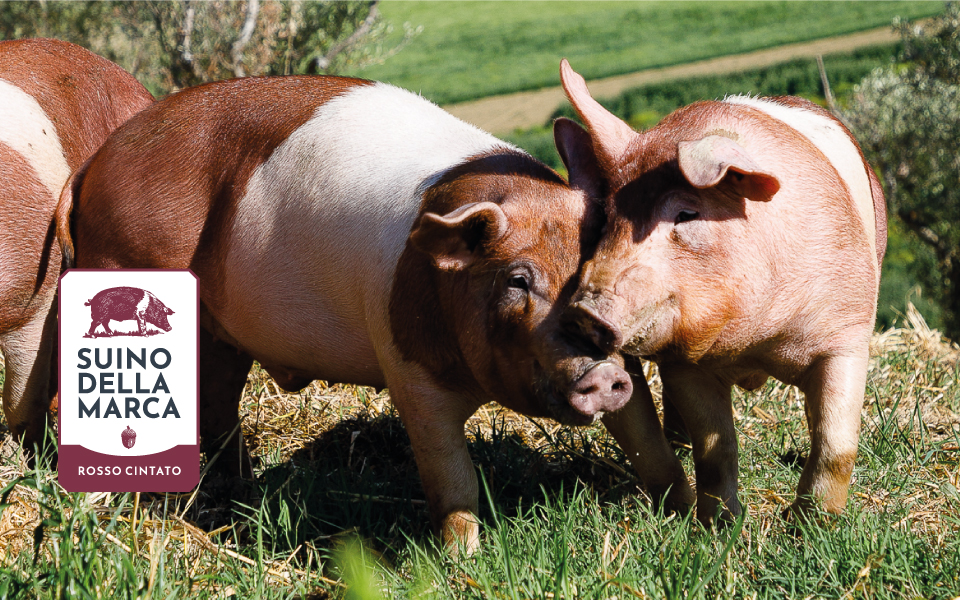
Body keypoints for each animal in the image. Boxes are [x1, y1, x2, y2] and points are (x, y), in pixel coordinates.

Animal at [56, 76, 692, 552]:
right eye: (517, 280)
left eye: (588, 273)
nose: (599, 374)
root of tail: (95, 164)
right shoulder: (408, 369)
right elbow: (450, 478)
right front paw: (462, 561)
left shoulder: (620, 344)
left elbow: (648, 438)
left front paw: (694, 520)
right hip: (130, 266)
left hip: (218, 335)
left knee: (216, 408)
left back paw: (240, 496)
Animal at [560, 58, 888, 524]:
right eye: (606, 219)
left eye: (686, 213)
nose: (583, 312)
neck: (757, 341)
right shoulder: (685, 366)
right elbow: (715, 450)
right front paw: (719, 526)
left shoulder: (848, 333)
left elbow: (836, 444)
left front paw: (809, 527)